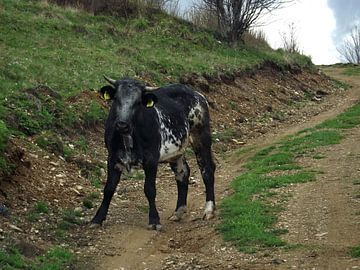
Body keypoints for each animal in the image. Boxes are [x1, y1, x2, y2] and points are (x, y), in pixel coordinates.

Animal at [91, 76, 215, 230]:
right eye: (116, 99)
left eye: (138, 102)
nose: (122, 124)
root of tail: (197, 94)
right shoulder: (112, 158)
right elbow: (109, 189)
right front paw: (97, 218)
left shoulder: (151, 159)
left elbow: (149, 189)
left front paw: (154, 220)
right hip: (177, 151)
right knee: (183, 173)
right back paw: (178, 212)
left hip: (201, 136)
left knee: (207, 170)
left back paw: (209, 210)